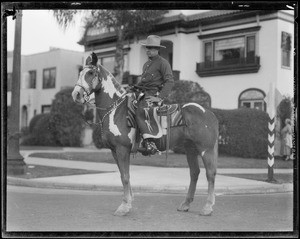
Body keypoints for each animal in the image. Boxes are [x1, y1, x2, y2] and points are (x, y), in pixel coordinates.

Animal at [72, 52, 219, 217]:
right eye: (80, 73)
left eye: (91, 73)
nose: (76, 94)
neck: (116, 110)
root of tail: (209, 113)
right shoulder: (115, 151)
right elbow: (124, 175)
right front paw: (128, 203)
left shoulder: (122, 149)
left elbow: (125, 177)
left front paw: (124, 206)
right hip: (191, 149)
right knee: (194, 173)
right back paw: (186, 204)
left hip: (205, 149)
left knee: (210, 173)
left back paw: (207, 207)